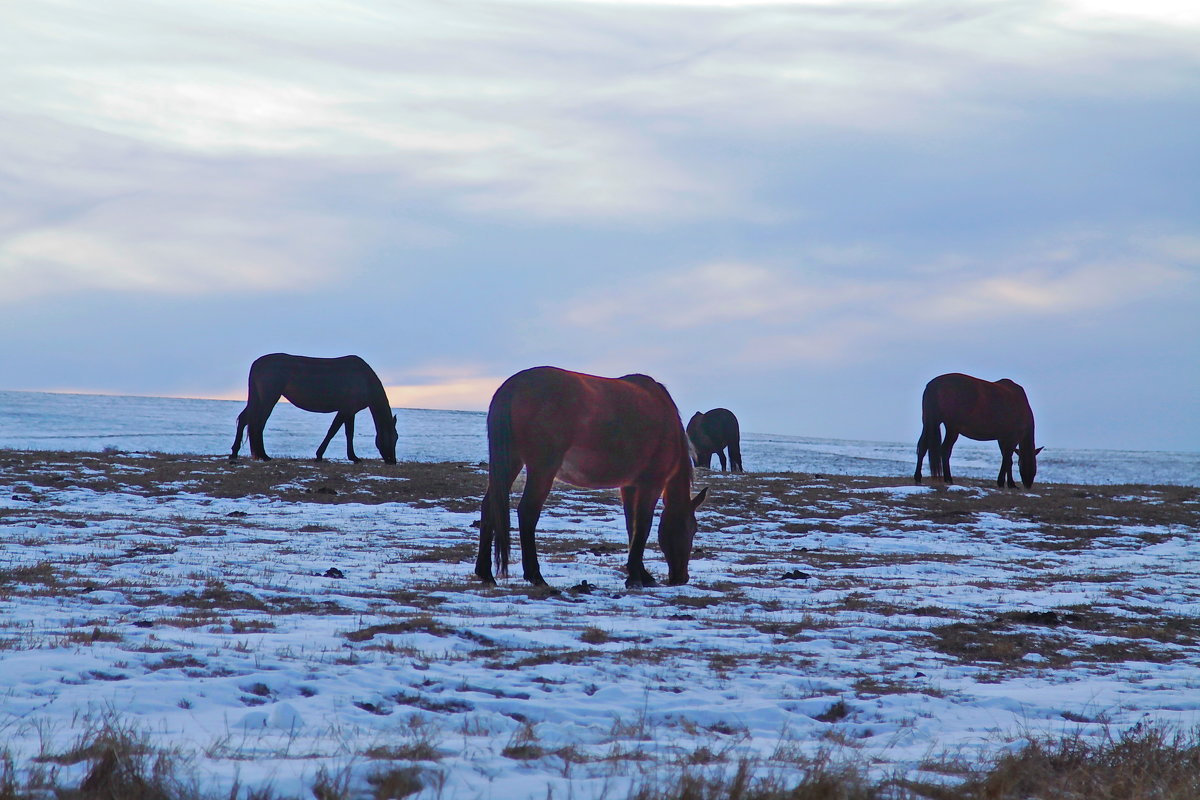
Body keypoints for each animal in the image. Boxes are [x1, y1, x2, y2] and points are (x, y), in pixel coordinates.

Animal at [231, 355, 400, 465]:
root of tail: (257, 364)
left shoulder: (350, 411)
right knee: (258, 423)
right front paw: (319, 455)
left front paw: (353, 457)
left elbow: (349, 434)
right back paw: (263, 455)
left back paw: (236, 453)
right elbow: (332, 431)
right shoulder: (345, 409)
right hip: (269, 398)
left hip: (259, 398)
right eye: (393, 437)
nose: (392, 461)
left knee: (246, 419)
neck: (365, 381)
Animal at [475, 367, 700, 587]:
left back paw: (486, 573)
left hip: (511, 462)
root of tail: (513, 386)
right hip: (542, 470)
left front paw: (640, 573)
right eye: (692, 529)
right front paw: (636, 577)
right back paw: (536, 576)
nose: (682, 578)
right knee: (527, 512)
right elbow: (643, 526)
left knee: (489, 507)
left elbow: (632, 526)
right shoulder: (651, 485)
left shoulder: (629, 486)